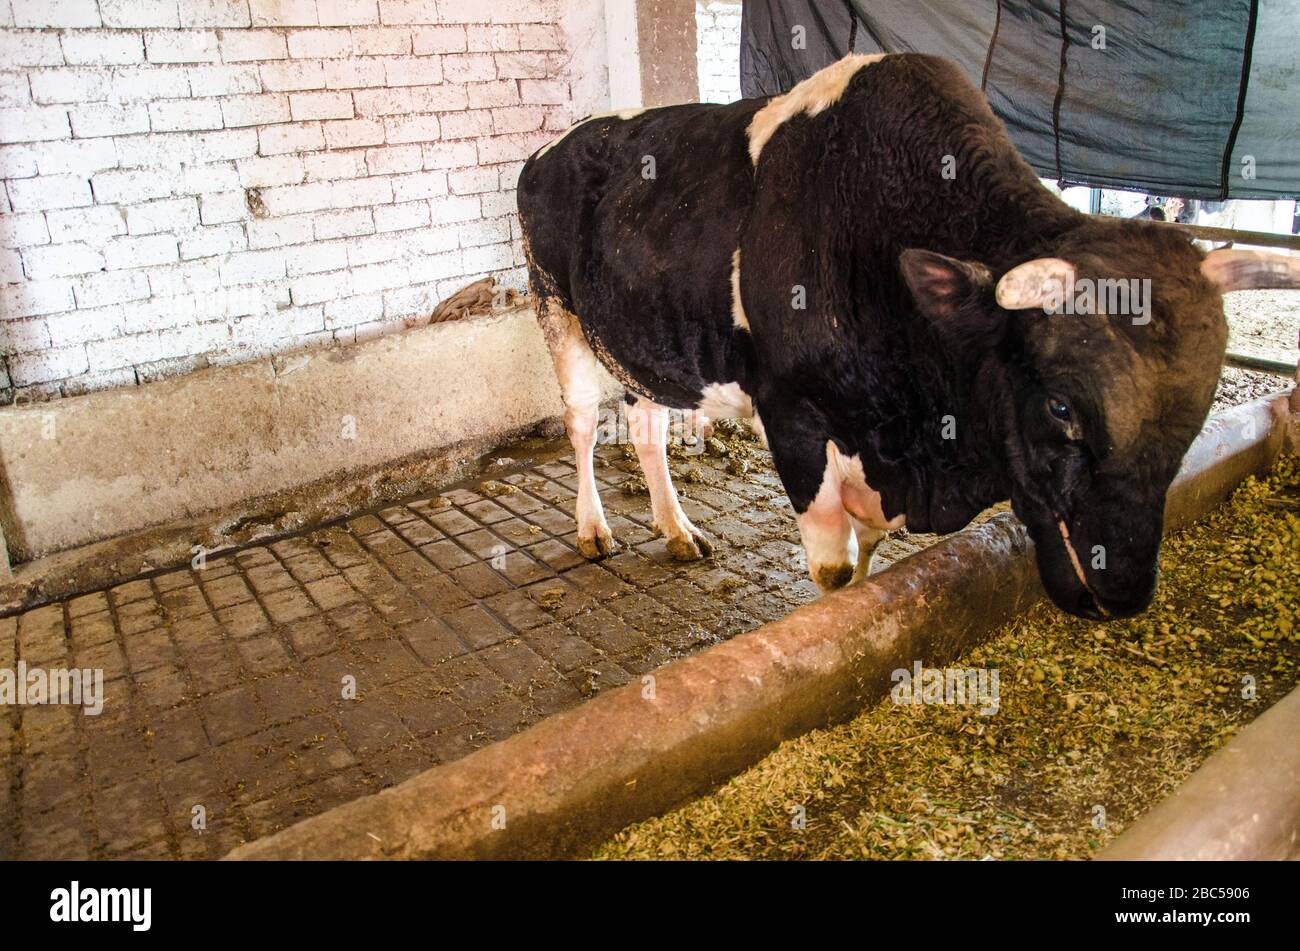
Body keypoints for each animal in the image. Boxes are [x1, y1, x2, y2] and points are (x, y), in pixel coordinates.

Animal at [517, 51, 1300, 621]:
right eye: (1060, 407)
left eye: (1199, 406)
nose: (1126, 593)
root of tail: (560, 144)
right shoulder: (793, 416)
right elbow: (836, 572)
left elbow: (865, 563)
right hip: (555, 309)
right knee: (582, 423)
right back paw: (592, 529)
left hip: (637, 342)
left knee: (644, 425)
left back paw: (677, 530)